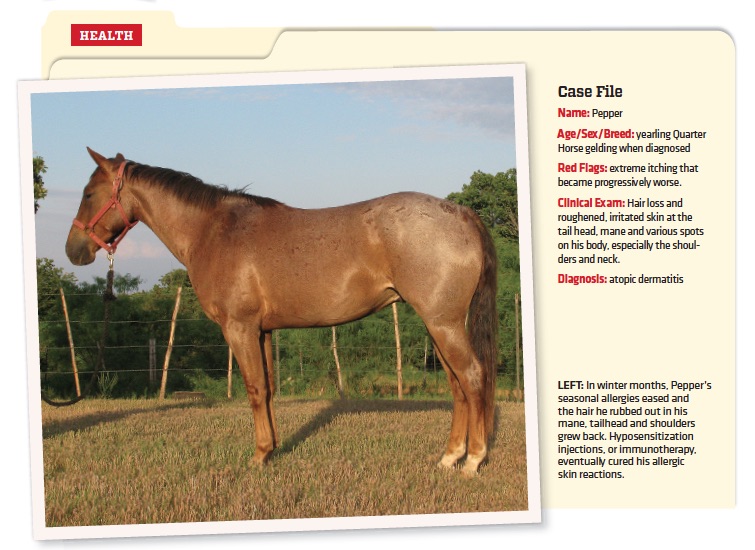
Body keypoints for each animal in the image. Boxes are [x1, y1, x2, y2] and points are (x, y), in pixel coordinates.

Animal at [65, 148, 499, 475]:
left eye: (88, 193)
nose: (73, 250)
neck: (213, 230)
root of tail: (463, 213)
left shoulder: (239, 328)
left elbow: (255, 390)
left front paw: (258, 456)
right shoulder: (262, 331)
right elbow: (269, 389)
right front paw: (272, 449)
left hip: (442, 324)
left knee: (473, 378)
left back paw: (473, 460)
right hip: (439, 325)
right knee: (458, 386)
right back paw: (449, 458)